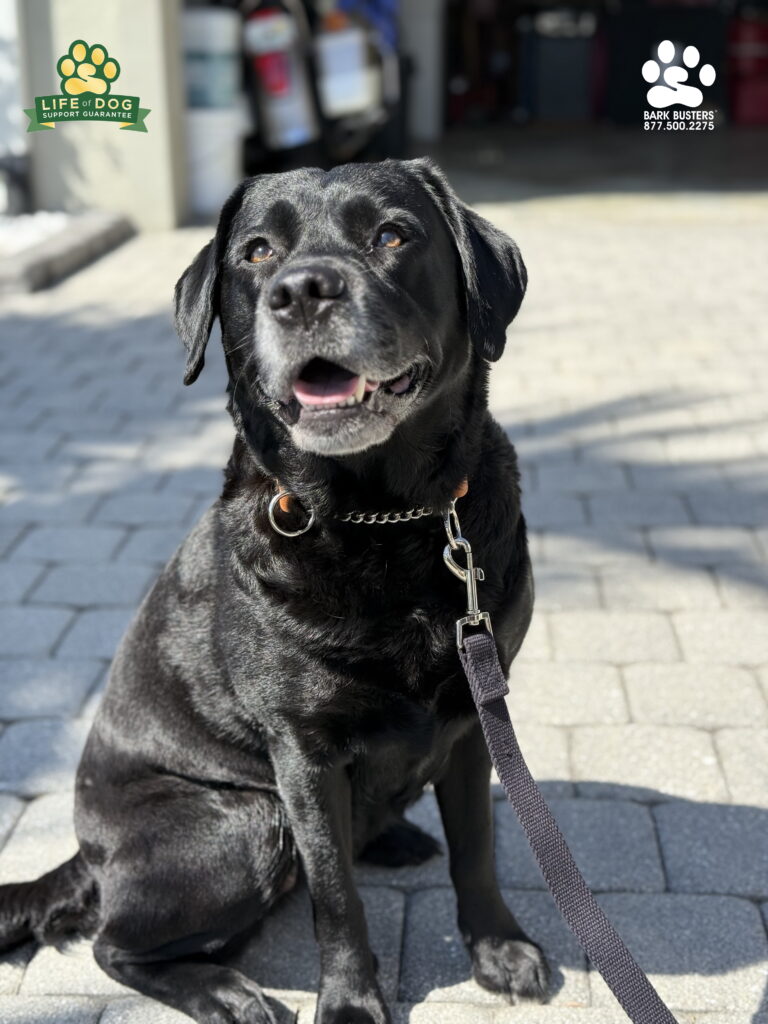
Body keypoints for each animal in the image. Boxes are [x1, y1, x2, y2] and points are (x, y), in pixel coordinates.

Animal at [0, 155, 548, 1019]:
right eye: (257, 252)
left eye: (393, 235)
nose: (304, 290)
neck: (381, 517)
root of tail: (88, 857)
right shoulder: (303, 756)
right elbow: (337, 898)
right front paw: (352, 1001)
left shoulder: (473, 716)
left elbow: (479, 847)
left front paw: (497, 947)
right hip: (247, 822)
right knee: (112, 946)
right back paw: (224, 991)